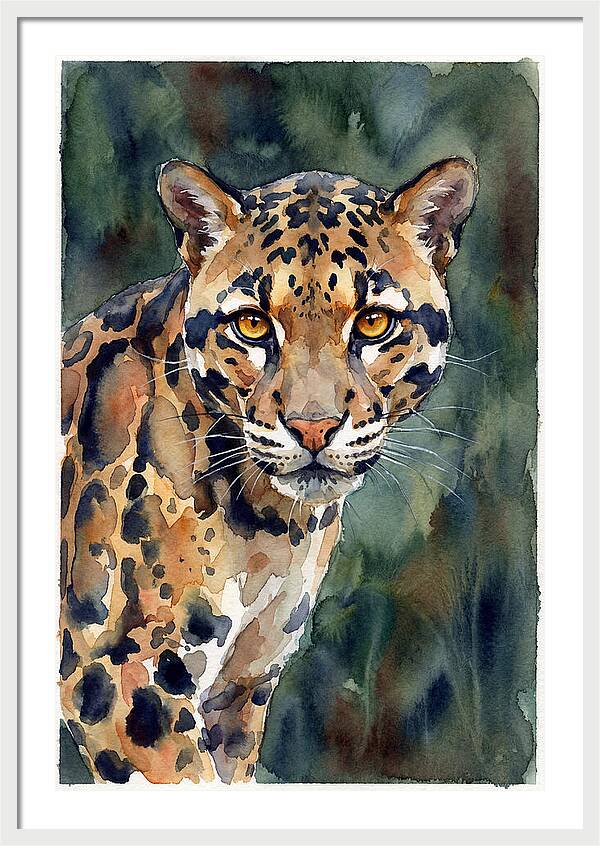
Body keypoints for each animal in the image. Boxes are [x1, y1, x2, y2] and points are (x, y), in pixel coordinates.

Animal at [59, 156, 477, 784]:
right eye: (253, 325)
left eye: (374, 323)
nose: (313, 427)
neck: (269, 526)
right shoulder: (118, 676)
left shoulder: (240, 689)